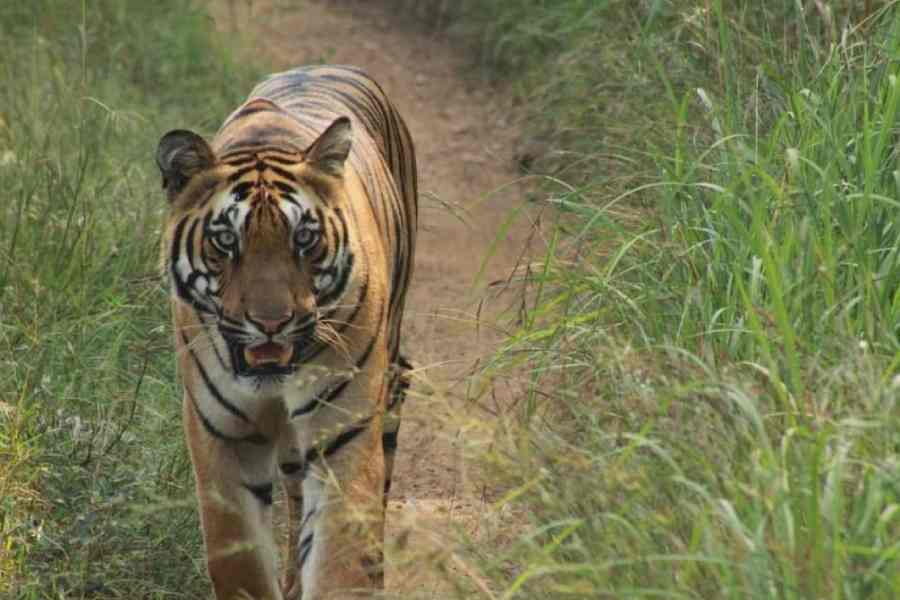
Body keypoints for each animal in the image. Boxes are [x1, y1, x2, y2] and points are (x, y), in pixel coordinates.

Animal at [155, 65, 417, 600]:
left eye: (304, 239)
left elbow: (340, 557)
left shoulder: (344, 433)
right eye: (225, 241)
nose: (271, 322)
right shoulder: (223, 435)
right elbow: (240, 564)